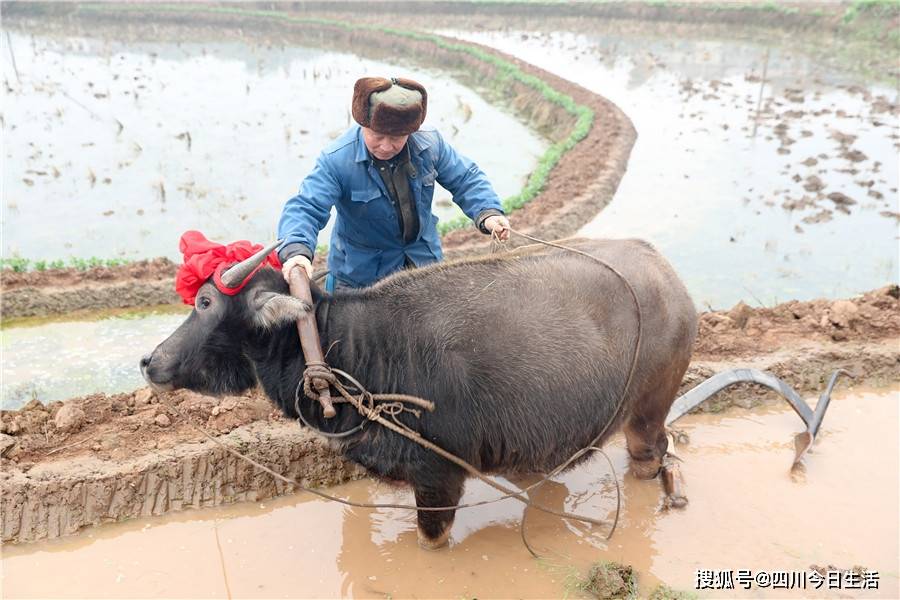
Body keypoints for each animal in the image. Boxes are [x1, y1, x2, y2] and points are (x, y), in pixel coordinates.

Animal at [144, 238, 700, 548]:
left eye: (206, 301)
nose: (150, 362)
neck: (353, 348)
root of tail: (664, 269)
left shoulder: (438, 479)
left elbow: (430, 541)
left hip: (649, 411)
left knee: (651, 456)